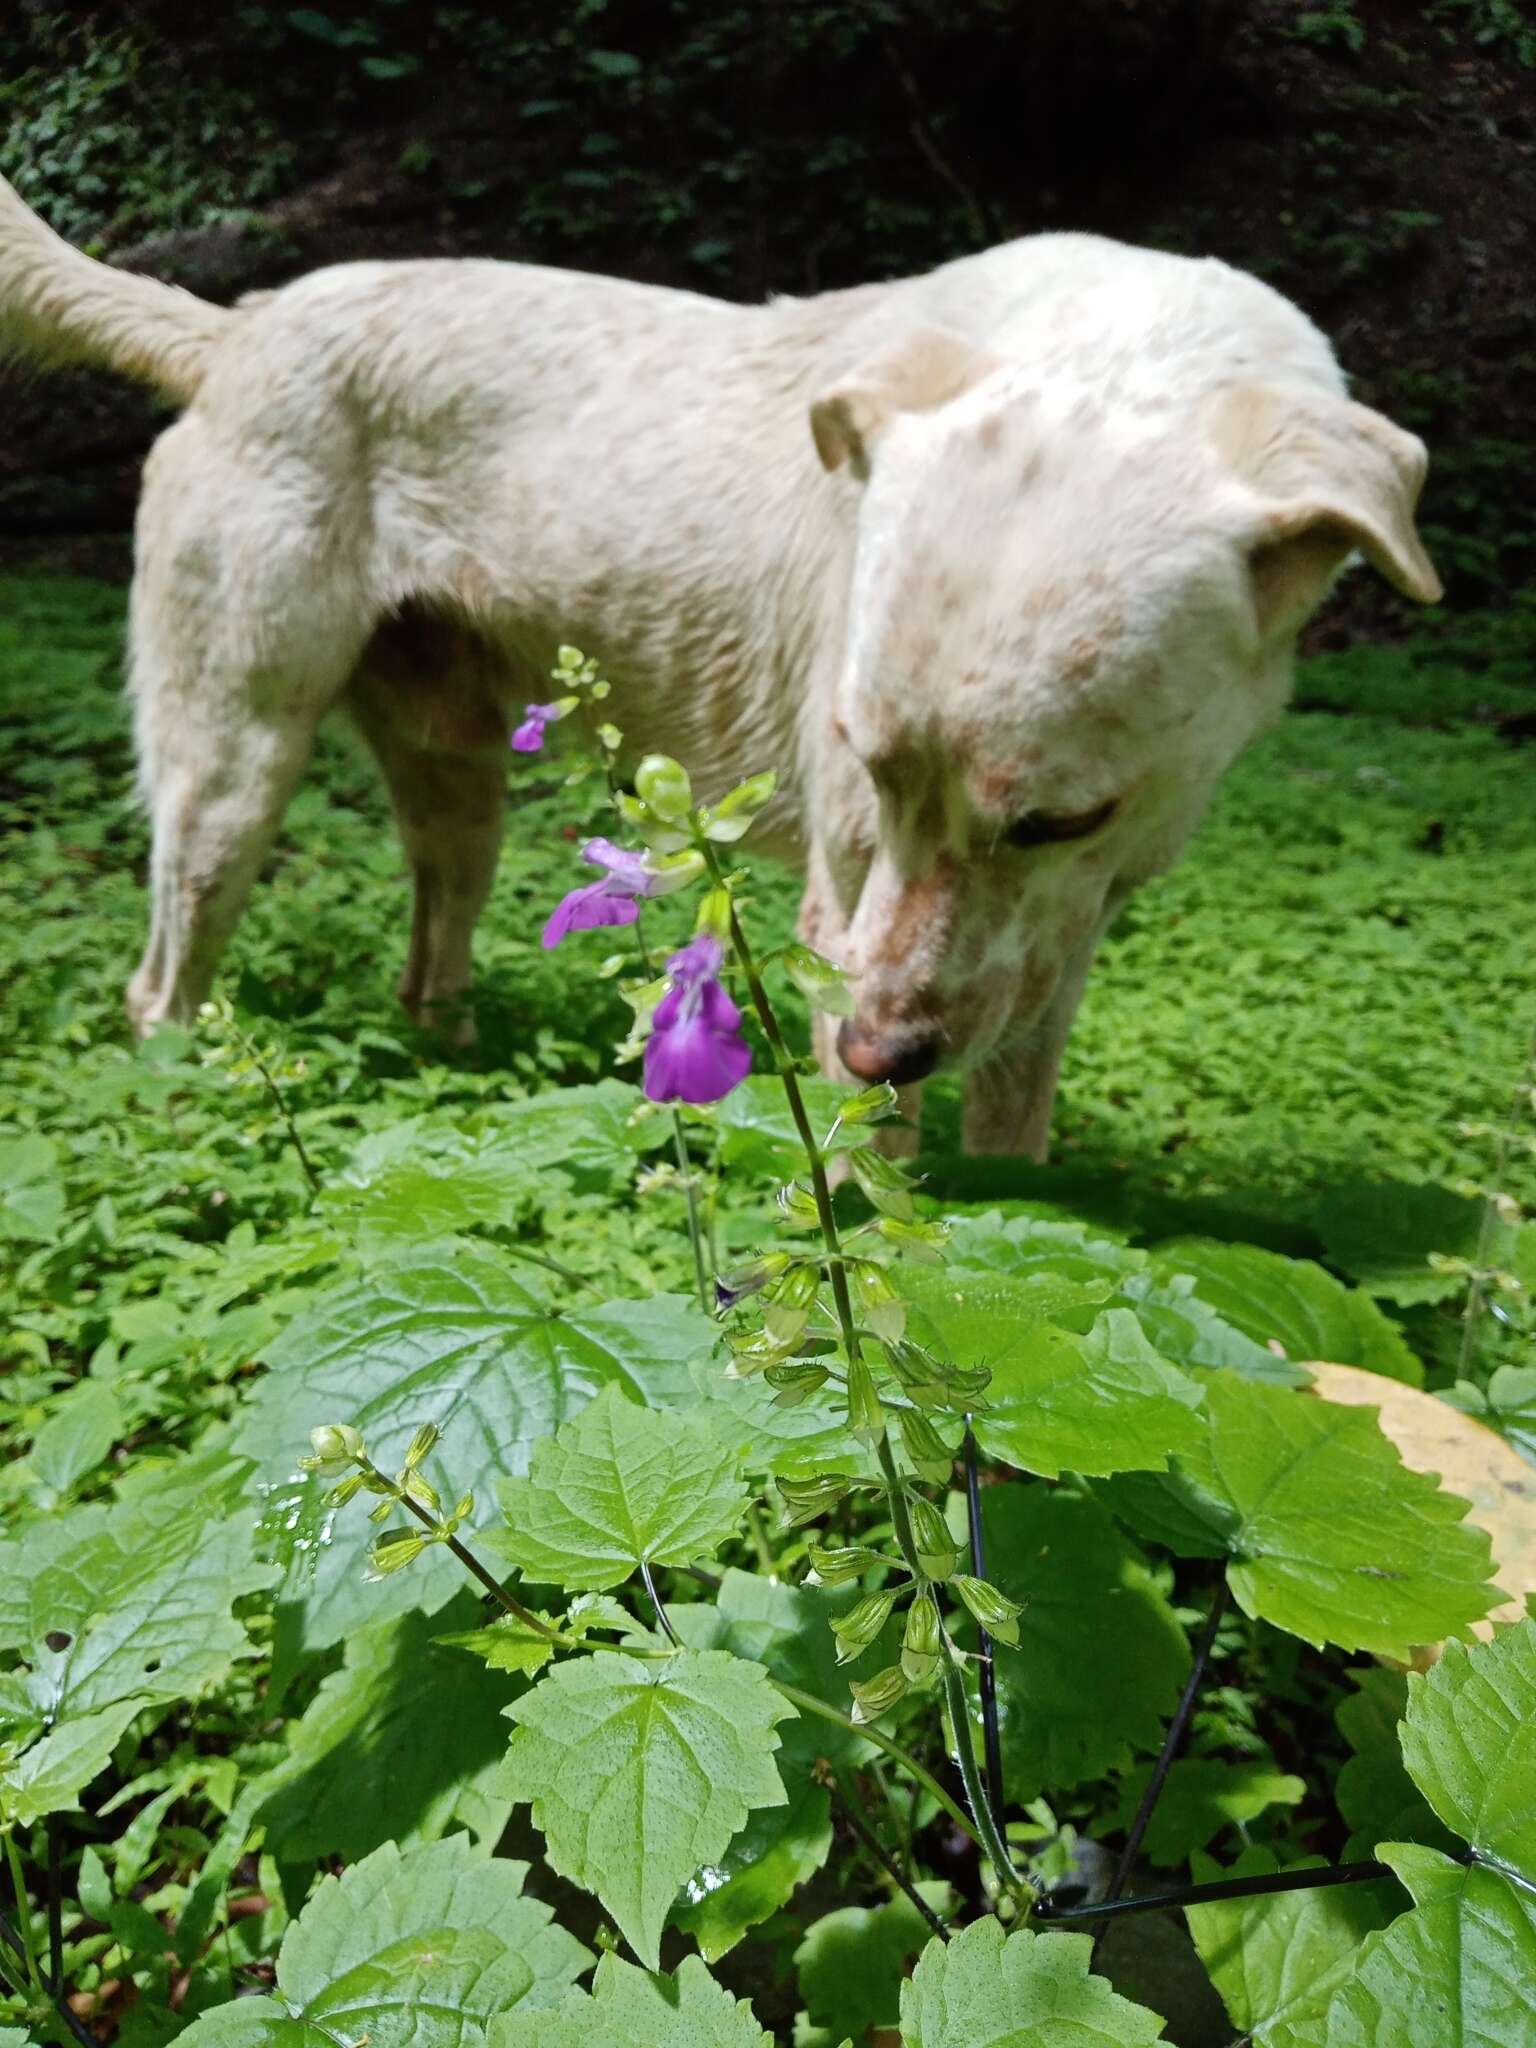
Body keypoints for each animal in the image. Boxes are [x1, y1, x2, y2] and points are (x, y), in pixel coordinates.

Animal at [0, 180, 1441, 1155]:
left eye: (1059, 819)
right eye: (870, 766)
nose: (872, 1048)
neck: (1116, 354)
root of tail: (234, 330)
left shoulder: (1072, 921)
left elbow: (1016, 1135)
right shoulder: (844, 904)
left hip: (458, 778)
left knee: (430, 947)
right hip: (231, 768)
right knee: (162, 978)